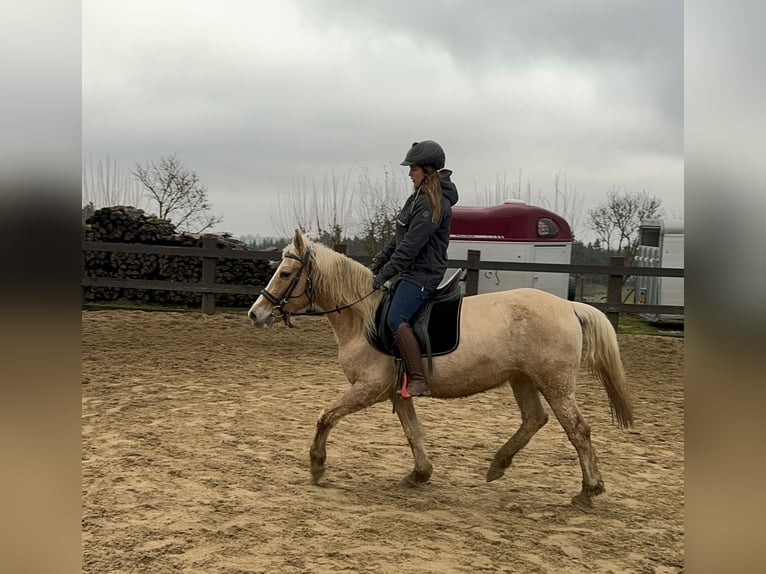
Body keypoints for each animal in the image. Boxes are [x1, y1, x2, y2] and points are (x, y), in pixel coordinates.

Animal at [249, 230, 632, 508]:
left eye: (285, 273)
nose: (256, 314)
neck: (365, 317)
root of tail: (569, 306)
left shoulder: (368, 388)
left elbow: (326, 416)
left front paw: (317, 465)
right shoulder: (397, 392)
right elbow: (413, 433)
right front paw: (420, 475)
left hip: (555, 384)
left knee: (578, 431)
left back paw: (588, 491)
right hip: (522, 379)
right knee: (534, 419)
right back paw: (498, 465)